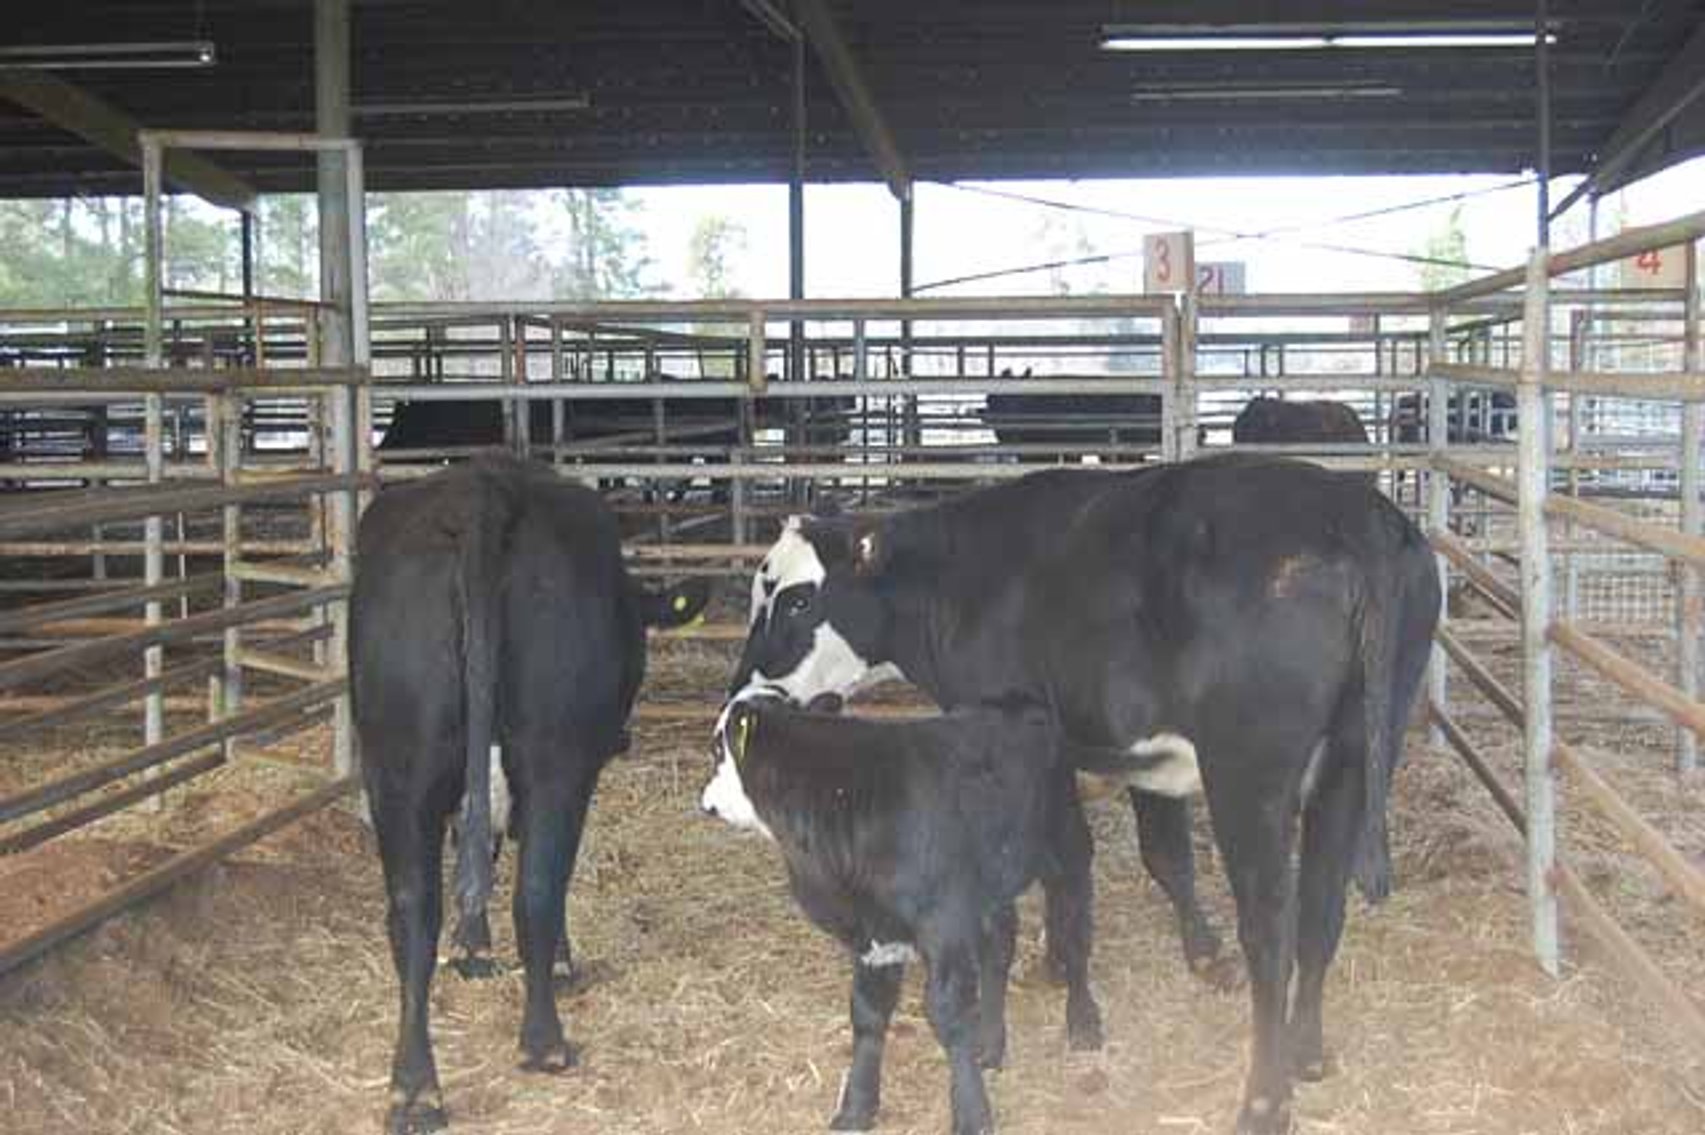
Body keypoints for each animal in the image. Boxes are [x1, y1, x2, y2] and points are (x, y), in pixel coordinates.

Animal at [350, 453, 708, 1134]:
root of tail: (484, 489)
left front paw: (472, 947)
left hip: (398, 766)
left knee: (413, 911)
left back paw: (414, 1088)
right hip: (555, 756)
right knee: (538, 889)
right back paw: (544, 1041)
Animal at [700, 689, 1199, 1135]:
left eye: (718, 749)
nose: (705, 804)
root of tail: (1022, 702)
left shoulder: (943, 927)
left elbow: (946, 1012)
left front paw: (972, 1115)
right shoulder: (875, 934)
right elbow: (867, 1014)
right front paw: (856, 1110)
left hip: (1068, 849)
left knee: (1073, 933)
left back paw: (1083, 1023)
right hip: (990, 889)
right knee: (1000, 950)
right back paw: (991, 1044)